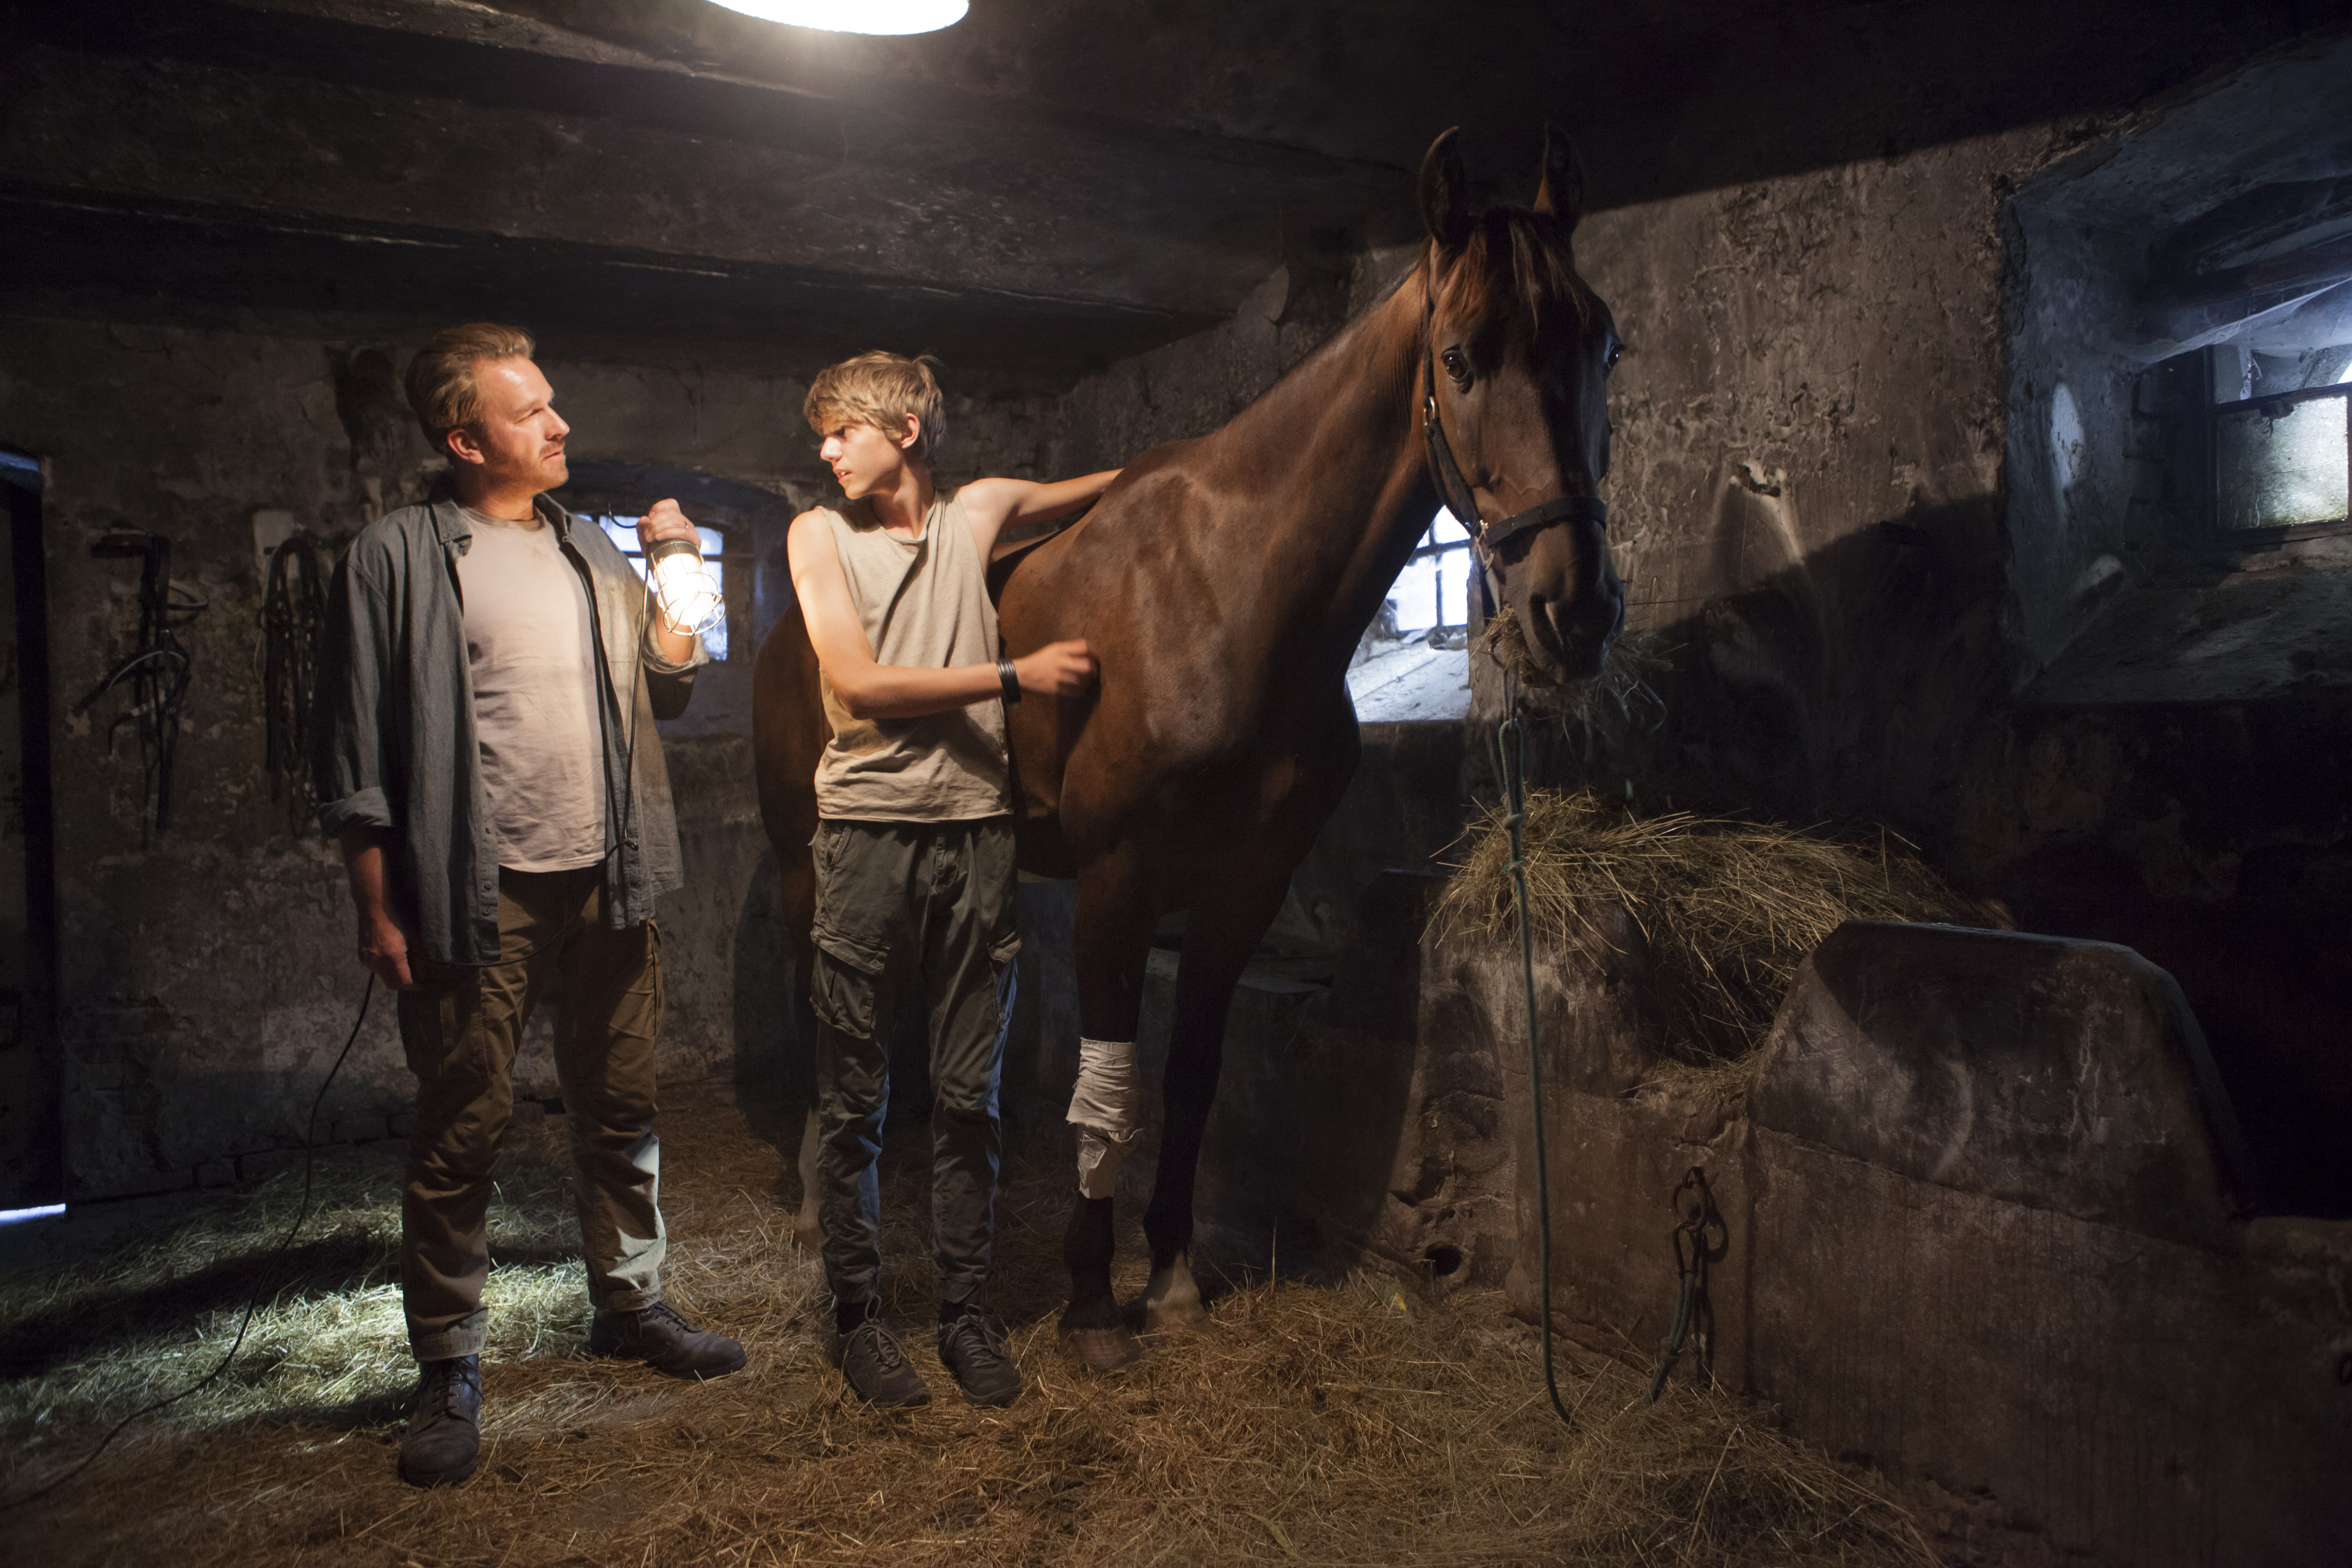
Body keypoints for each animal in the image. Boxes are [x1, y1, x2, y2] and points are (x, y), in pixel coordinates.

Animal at [762, 129, 1627, 1363]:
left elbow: (1191, 1074)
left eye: (1602, 341)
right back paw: (809, 1190)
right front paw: (1091, 1298)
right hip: (806, 859)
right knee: (817, 999)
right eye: (1462, 357)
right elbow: (1108, 1084)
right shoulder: (1120, 882)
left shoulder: (1241, 890)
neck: (1230, 592)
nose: (1575, 609)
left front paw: (1168, 1271)